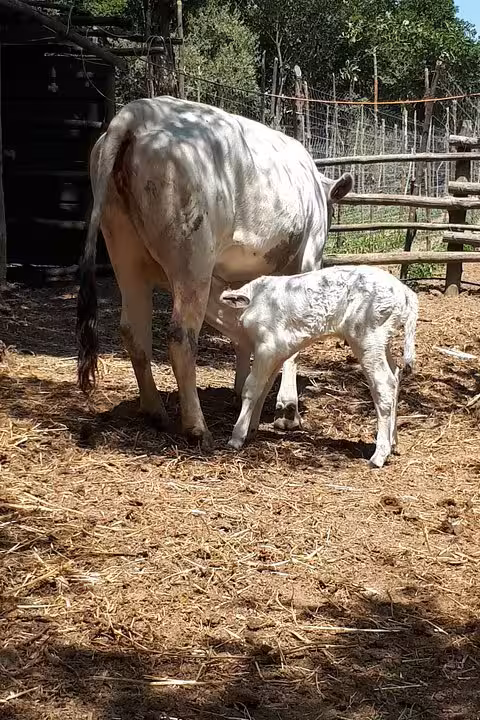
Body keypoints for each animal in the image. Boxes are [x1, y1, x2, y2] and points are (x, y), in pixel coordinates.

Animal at [77, 96, 353, 450]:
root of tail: (136, 113)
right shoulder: (307, 260)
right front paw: (287, 409)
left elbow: (243, 329)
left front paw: (242, 387)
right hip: (192, 260)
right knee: (181, 337)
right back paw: (197, 427)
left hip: (124, 252)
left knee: (134, 331)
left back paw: (155, 412)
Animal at [220, 266, 418, 468]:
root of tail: (404, 292)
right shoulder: (278, 353)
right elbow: (263, 389)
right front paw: (251, 430)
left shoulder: (267, 347)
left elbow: (251, 388)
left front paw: (237, 436)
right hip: (381, 342)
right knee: (395, 376)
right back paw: (393, 442)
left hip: (368, 339)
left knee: (383, 385)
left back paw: (379, 455)